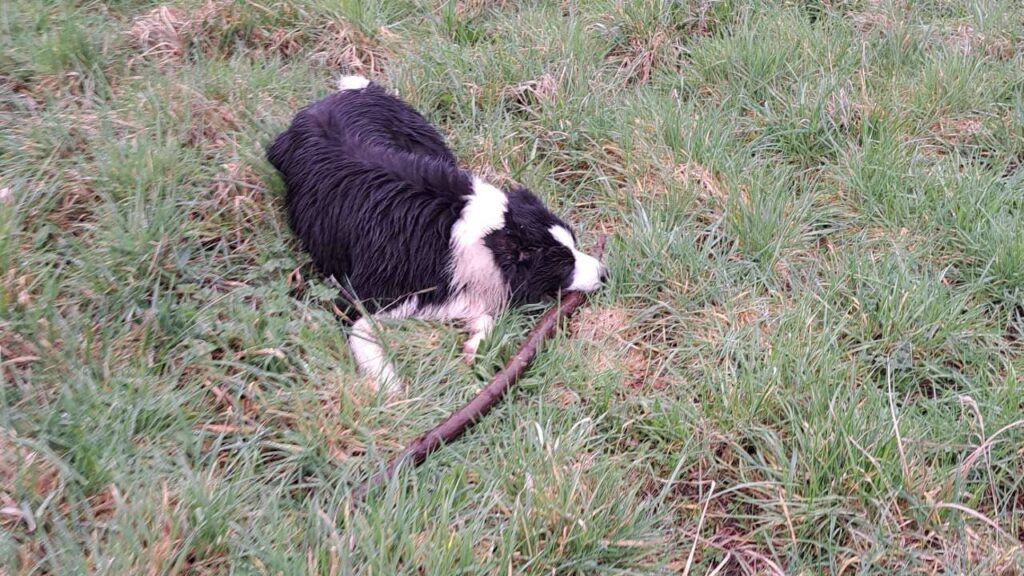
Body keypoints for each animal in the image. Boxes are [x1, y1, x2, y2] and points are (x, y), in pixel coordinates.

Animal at [266, 73, 606, 389]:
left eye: (575, 245)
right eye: (564, 263)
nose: (605, 272)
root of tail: (349, 92)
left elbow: (484, 317)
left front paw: (475, 346)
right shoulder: (360, 294)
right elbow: (361, 329)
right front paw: (389, 385)